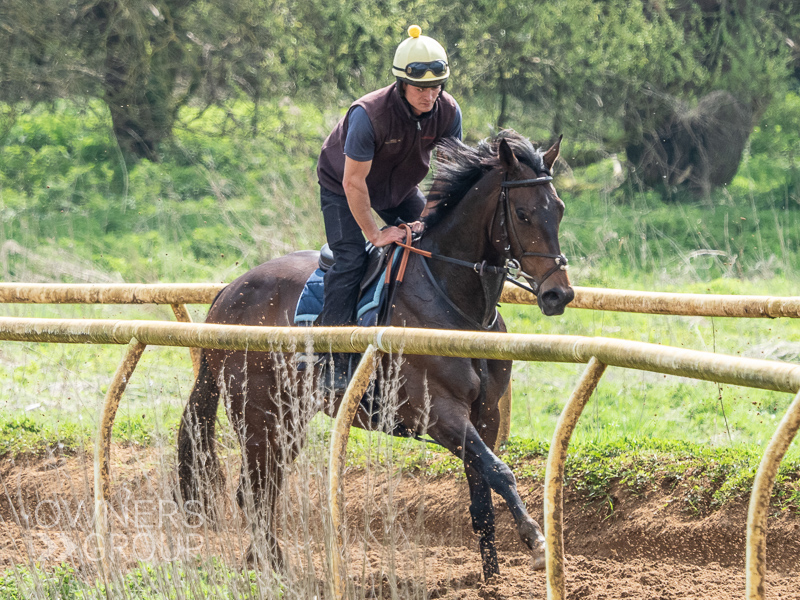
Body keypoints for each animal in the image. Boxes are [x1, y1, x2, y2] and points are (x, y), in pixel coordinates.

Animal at [178, 129, 572, 580]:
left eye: (558, 209)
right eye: (523, 214)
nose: (558, 294)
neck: (457, 308)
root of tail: (226, 294)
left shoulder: (486, 413)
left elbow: (482, 495)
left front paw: (492, 577)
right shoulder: (440, 414)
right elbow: (499, 472)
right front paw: (536, 540)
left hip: (289, 417)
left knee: (260, 487)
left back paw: (268, 562)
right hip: (259, 414)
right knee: (255, 489)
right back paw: (271, 565)